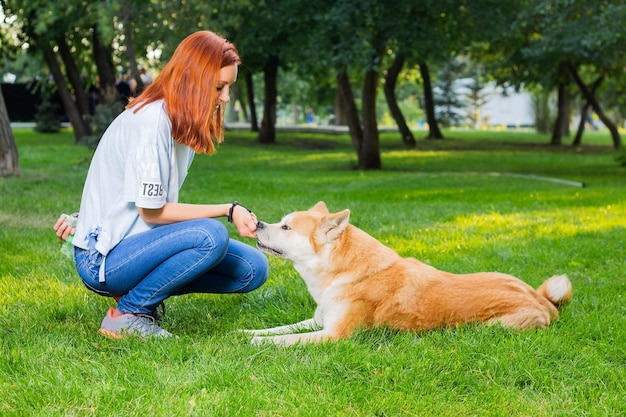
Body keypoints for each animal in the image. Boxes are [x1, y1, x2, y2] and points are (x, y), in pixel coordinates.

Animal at [244, 202, 572, 344]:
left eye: (286, 227)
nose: (257, 223)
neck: (344, 272)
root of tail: (544, 302)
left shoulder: (334, 335)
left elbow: (283, 341)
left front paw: (254, 344)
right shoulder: (317, 321)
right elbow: (280, 329)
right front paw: (246, 332)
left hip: (491, 327)